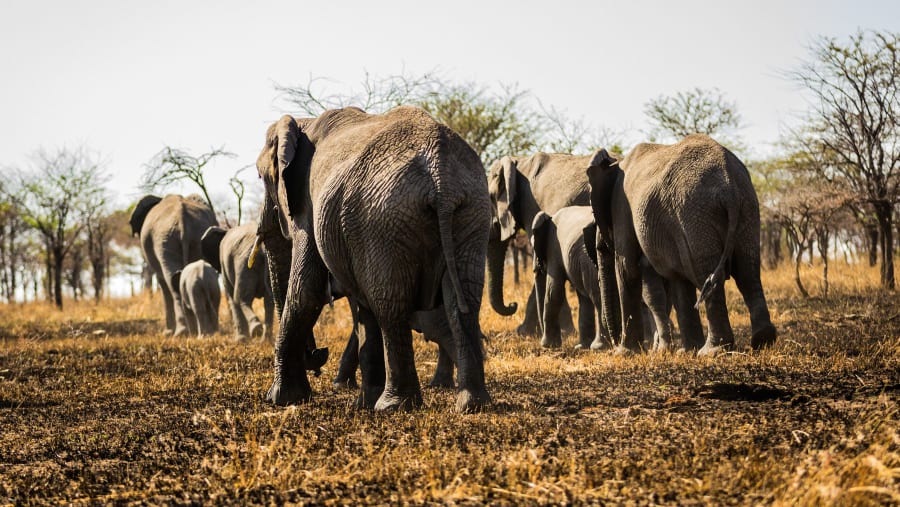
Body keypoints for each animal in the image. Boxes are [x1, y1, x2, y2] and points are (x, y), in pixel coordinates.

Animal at [129, 194, 218, 336]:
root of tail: (183, 220)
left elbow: (162, 283)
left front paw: (167, 333)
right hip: (195, 237)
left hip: (164, 240)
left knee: (172, 283)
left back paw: (181, 333)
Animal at [256, 106, 491, 412]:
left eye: (261, 178)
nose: (318, 356)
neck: (303, 122)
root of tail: (440, 174)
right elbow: (361, 306)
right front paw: (362, 403)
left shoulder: (308, 208)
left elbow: (306, 292)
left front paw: (280, 399)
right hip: (472, 210)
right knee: (462, 303)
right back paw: (471, 404)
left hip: (383, 220)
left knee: (390, 304)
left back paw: (393, 406)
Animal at [531, 206, 613, 350]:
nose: (541, 342)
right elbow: (583, 298)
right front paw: (581, 347)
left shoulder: (554, 249)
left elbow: (554, 291)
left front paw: (549, 346)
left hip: (592, 262)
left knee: (597, 296)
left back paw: (599, 347)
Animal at [586, 135, 777, 356]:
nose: (613, 345)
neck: (617, 162)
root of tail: (729, 184)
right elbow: (677, 280)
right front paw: (685, 352)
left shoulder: (621, 206)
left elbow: (627, 269)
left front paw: (625, 353)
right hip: (747, 209)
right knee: (748, 271)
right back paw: (762, 340)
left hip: (695, 214)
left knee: (706, 273)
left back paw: (711, 351)